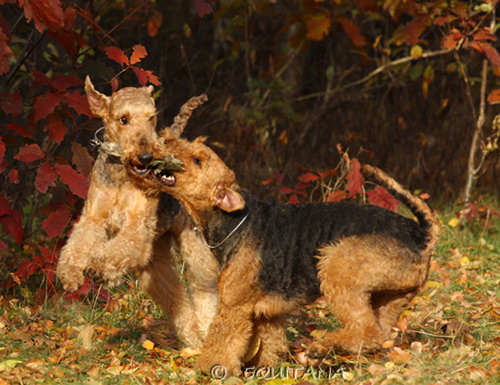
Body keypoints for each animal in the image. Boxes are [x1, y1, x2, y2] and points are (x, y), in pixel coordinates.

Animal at [126, 112, 442, 374]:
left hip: (336, 266)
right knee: (378, 335)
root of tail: (422, 234)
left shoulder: (232, 307)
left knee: (365, 329)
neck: (234, 221)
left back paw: (319, 348)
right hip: (389, 298)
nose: (164, 137)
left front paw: (207, 369)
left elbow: (220, 341)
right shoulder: (268, 313)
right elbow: (272, 343)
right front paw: (267, 368)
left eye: (198, 160)